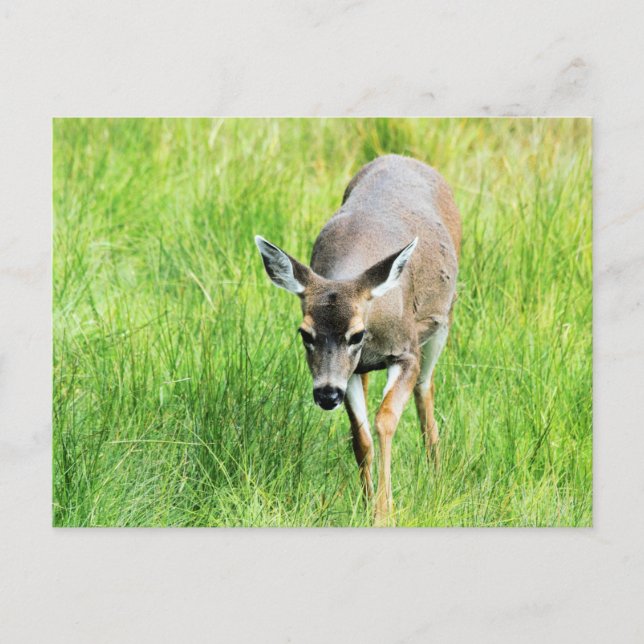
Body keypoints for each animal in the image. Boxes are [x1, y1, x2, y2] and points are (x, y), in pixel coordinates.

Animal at [255, 154, 461, 525]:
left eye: (356, 334)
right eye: (304, 333)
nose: (325, 395)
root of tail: (404, 157)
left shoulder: (406, 352)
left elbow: (385, 420)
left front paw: (385, 510)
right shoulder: (347, 372)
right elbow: (361, 436)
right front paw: (366, 507)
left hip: (443, 320)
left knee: (426, 388)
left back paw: (437, 475)